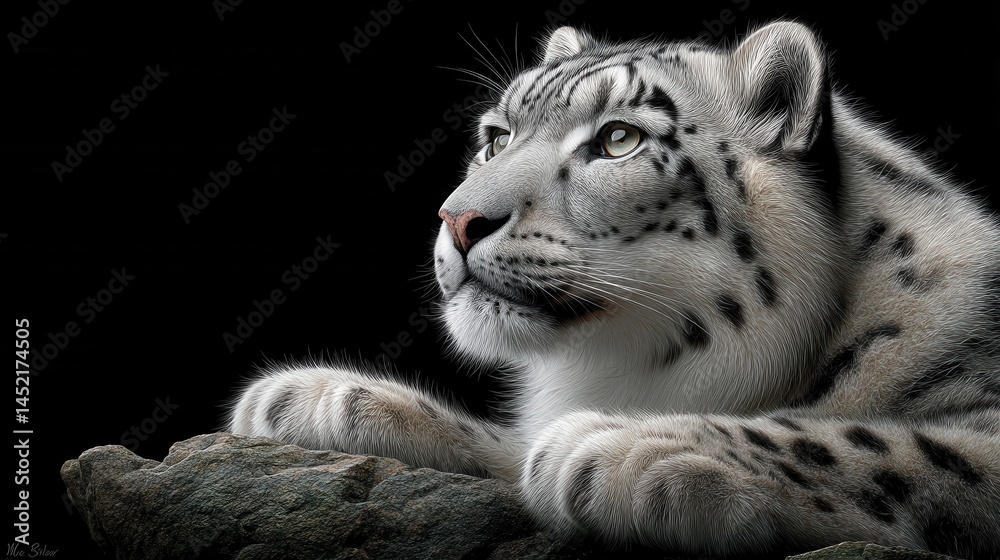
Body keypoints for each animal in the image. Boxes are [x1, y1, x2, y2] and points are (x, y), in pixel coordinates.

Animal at [229, 21, 1000, 557]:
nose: (457, 218)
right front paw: (318, 396)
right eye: (496, 135)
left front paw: (627, 447)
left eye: (619, 139)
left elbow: (877, 444)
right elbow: (510, 445)